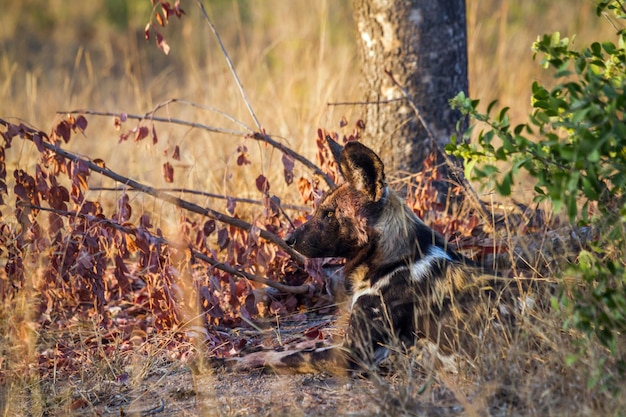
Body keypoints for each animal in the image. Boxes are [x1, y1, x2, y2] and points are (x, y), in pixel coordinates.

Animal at [224, 137, 512, 374]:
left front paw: (234, 361)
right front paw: (248, 351)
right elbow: (290, 347)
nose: (289, 240)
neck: (394, 261)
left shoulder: (352, 352)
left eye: (329, 214)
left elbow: (285, 356)